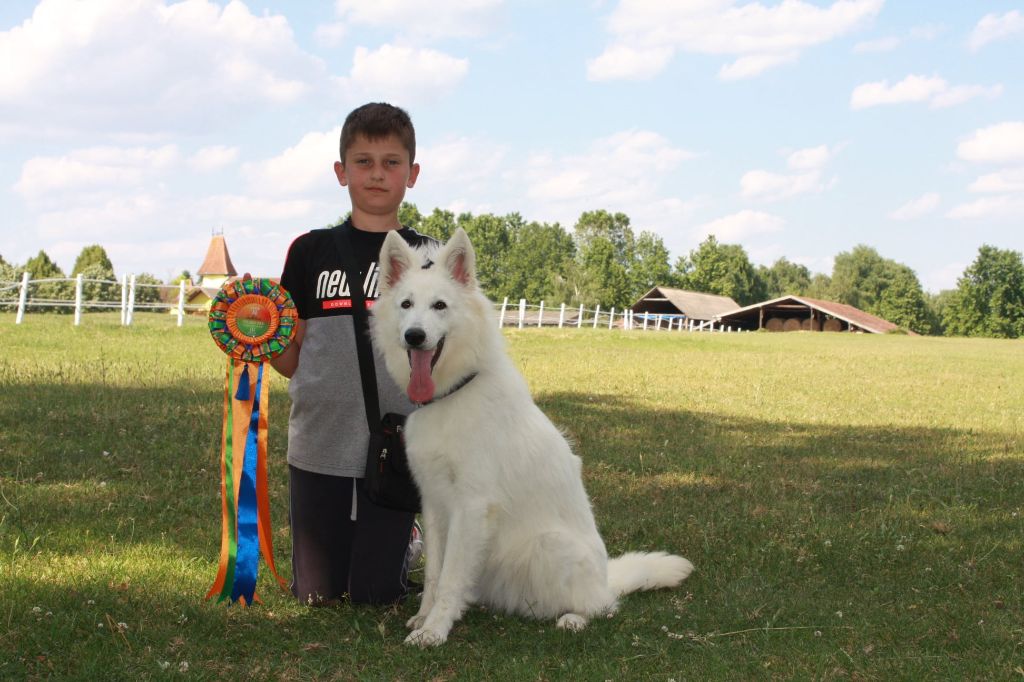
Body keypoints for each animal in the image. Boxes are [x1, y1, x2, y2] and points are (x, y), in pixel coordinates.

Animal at [370, 228, 694, 647]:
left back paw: (574, 618)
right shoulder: (435, 504)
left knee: (603, 606)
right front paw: (424, 618)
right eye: (406, 304)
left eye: (440, 305)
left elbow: (450, 578)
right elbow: (434, 574)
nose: (414, 336)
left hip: (550, 545)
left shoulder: (470, 507)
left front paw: (435, 630)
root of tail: (607, 577)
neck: (454, 392)